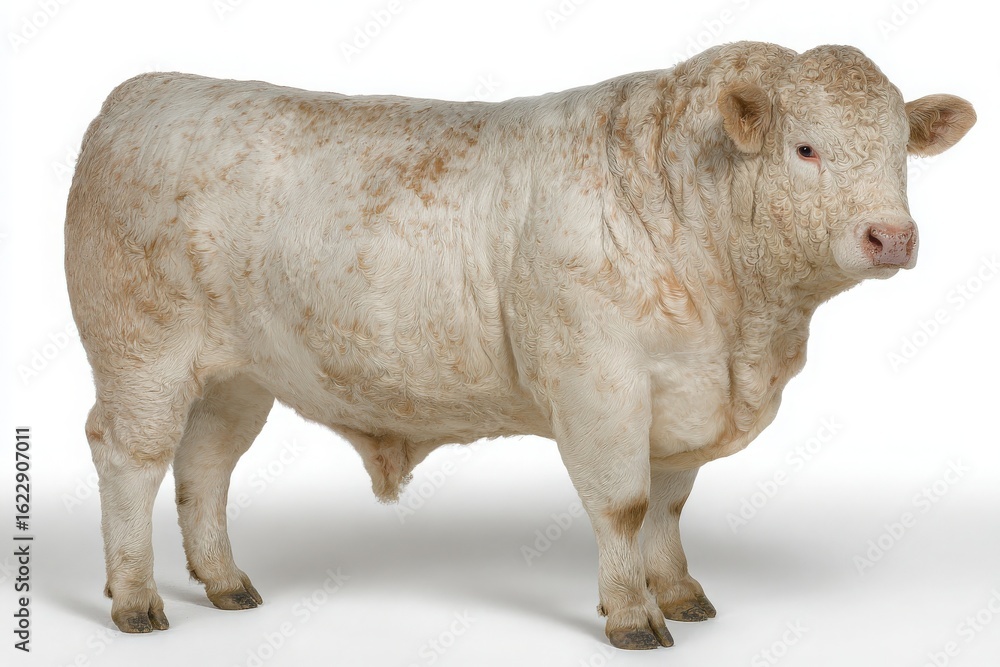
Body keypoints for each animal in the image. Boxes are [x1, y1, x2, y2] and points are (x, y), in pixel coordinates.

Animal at [65, 41, 975, 649]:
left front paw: (680, 590)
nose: (892, 236)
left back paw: (224, 581)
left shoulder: (679, 391)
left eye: (902, 152)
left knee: (205, 466)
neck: (743, 331)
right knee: (129, 458)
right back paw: (135, 598)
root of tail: (145, 90)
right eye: (805, 147)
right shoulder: (600, 380)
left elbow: (671, 502)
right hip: (140, 353)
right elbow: (625, 503)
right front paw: (633, 613)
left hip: (237, 376)